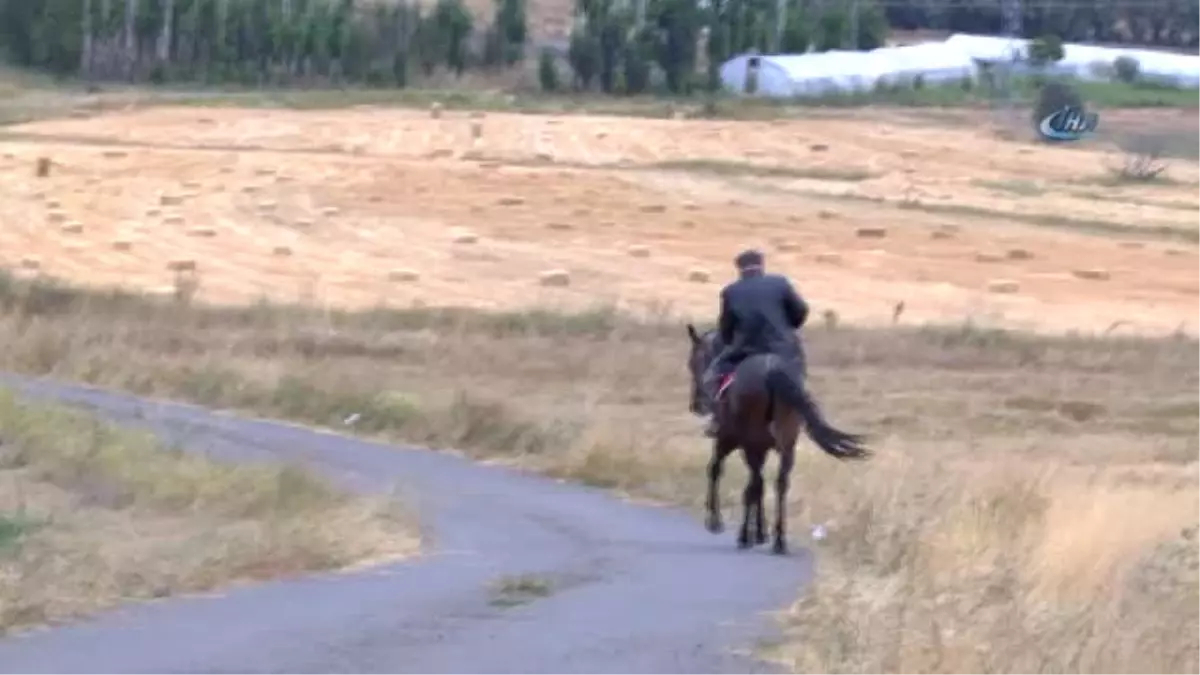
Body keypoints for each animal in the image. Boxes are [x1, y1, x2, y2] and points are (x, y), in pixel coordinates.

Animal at [686, 324, 873, 554]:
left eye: (693, 362)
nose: (696, 405)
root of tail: (772, 371)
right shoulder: (761, 448)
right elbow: (758, 484)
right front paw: (761, 532)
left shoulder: (728, 441)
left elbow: (717, 470)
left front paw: (717, 522)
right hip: (786, 446)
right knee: (780, 483)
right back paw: (779, 540)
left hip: (750, 444)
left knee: (753, 483)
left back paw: (745, 536)